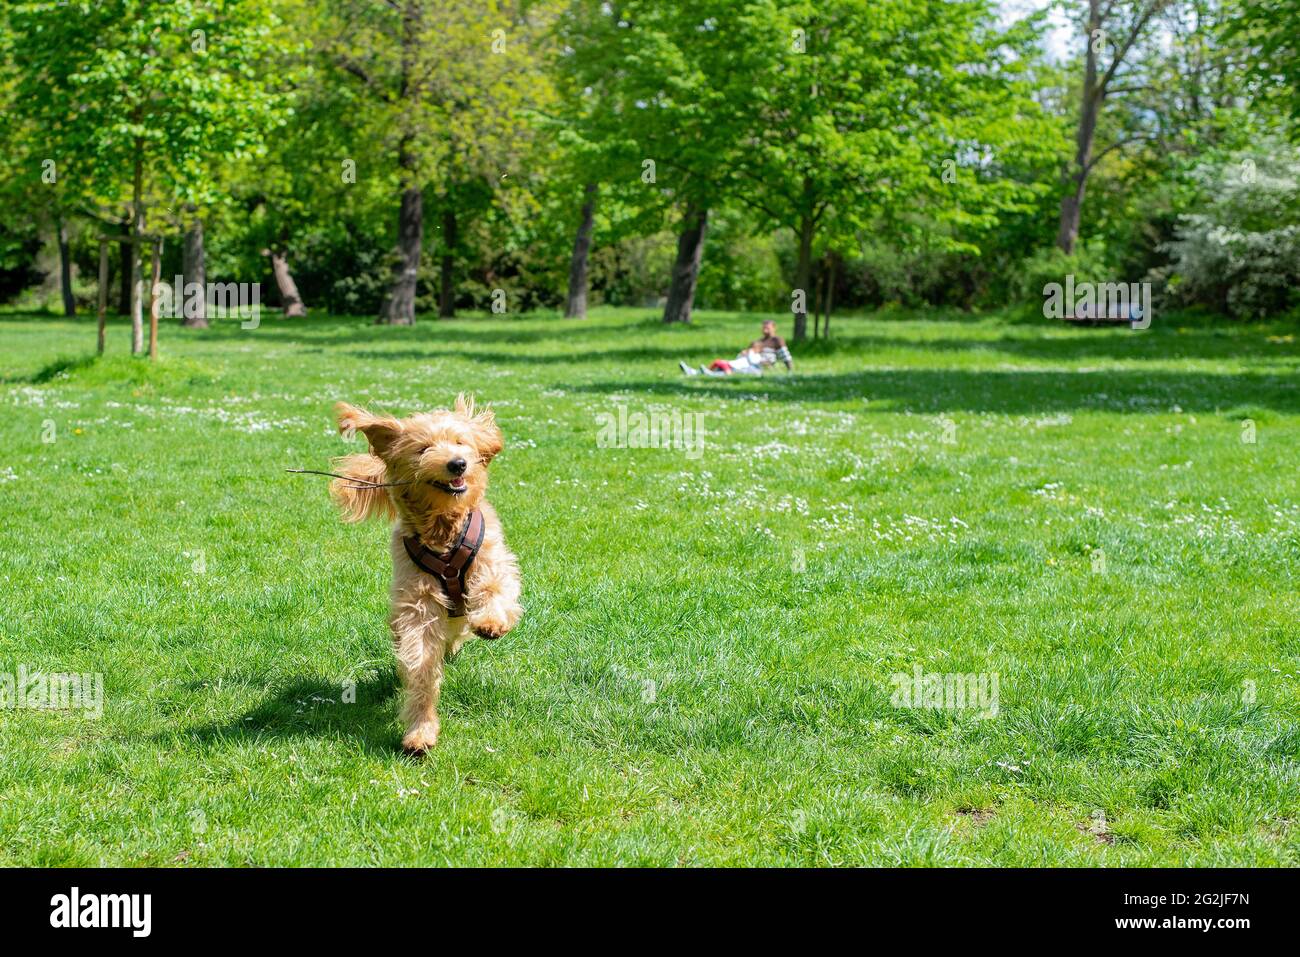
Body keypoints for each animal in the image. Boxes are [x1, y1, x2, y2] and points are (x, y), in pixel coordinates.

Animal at [330, 392, 522, 748]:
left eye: (461, 442)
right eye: (423, 449)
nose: (457, 463)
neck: (444, 529)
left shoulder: (491, 558)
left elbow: (492, 586)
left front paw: (490, 622)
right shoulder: (417, 602)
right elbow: (420, 661)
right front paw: (421, 729)